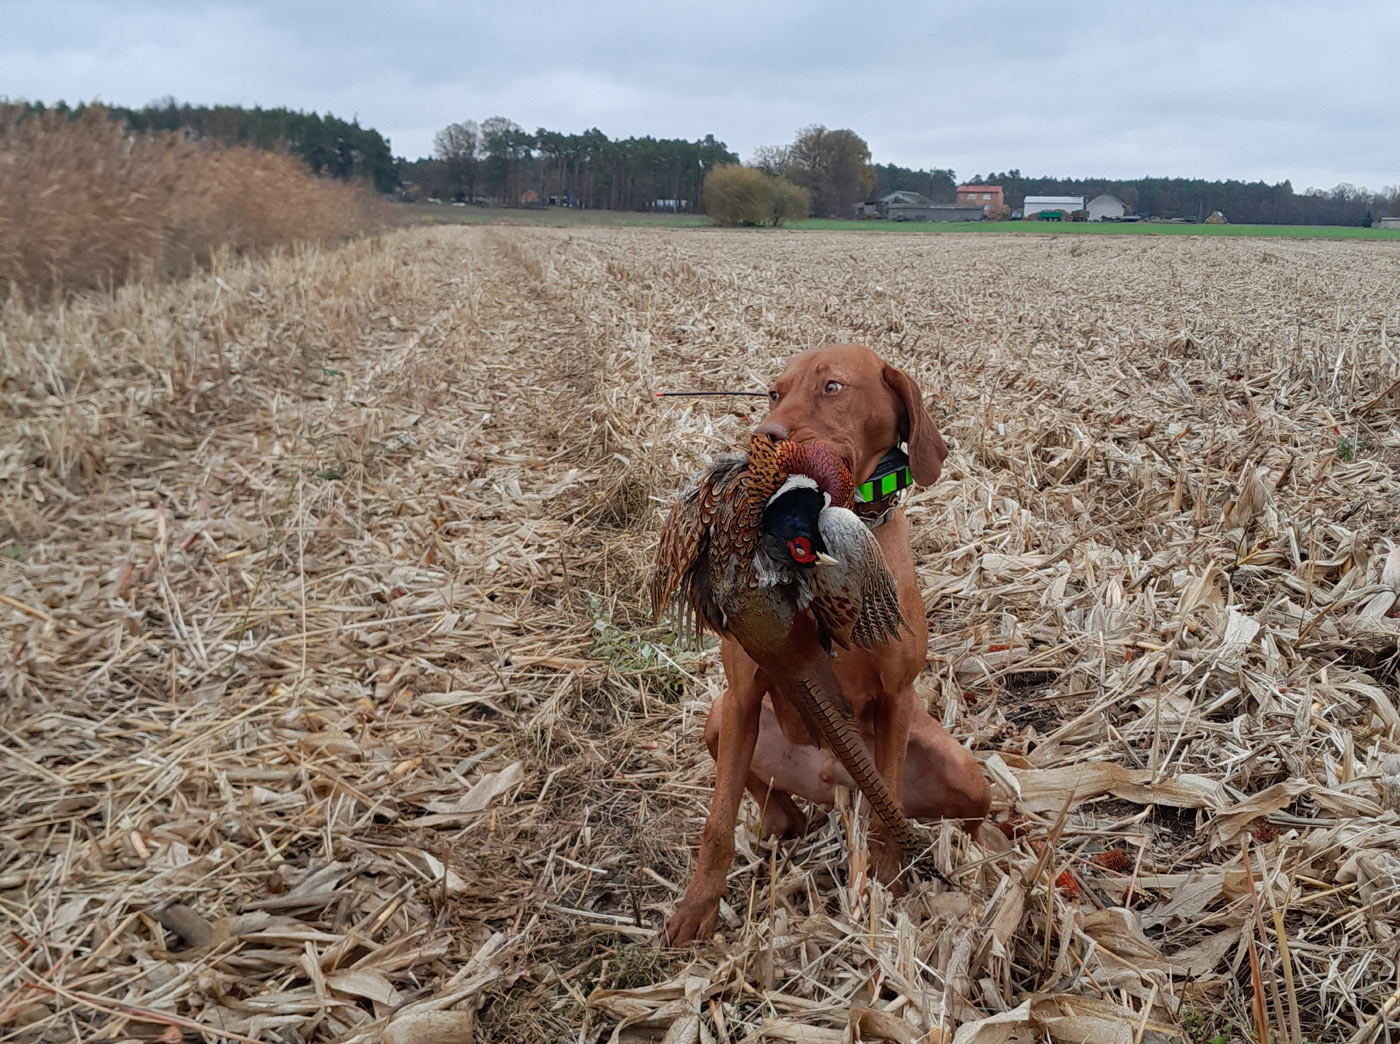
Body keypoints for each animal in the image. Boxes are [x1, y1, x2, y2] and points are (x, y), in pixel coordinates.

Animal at [669, 344, 991, 946]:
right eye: (774, 392)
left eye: (833, 387)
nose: (763, 436)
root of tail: (835, 781)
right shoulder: (743, 694)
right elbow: (717, 822)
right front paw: (697, 907)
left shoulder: (896, 697)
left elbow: (888, 797)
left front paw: (887, 881)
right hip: (721, 717)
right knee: (770, 800)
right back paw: (783, 821)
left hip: (964, 770)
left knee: (971, 822)